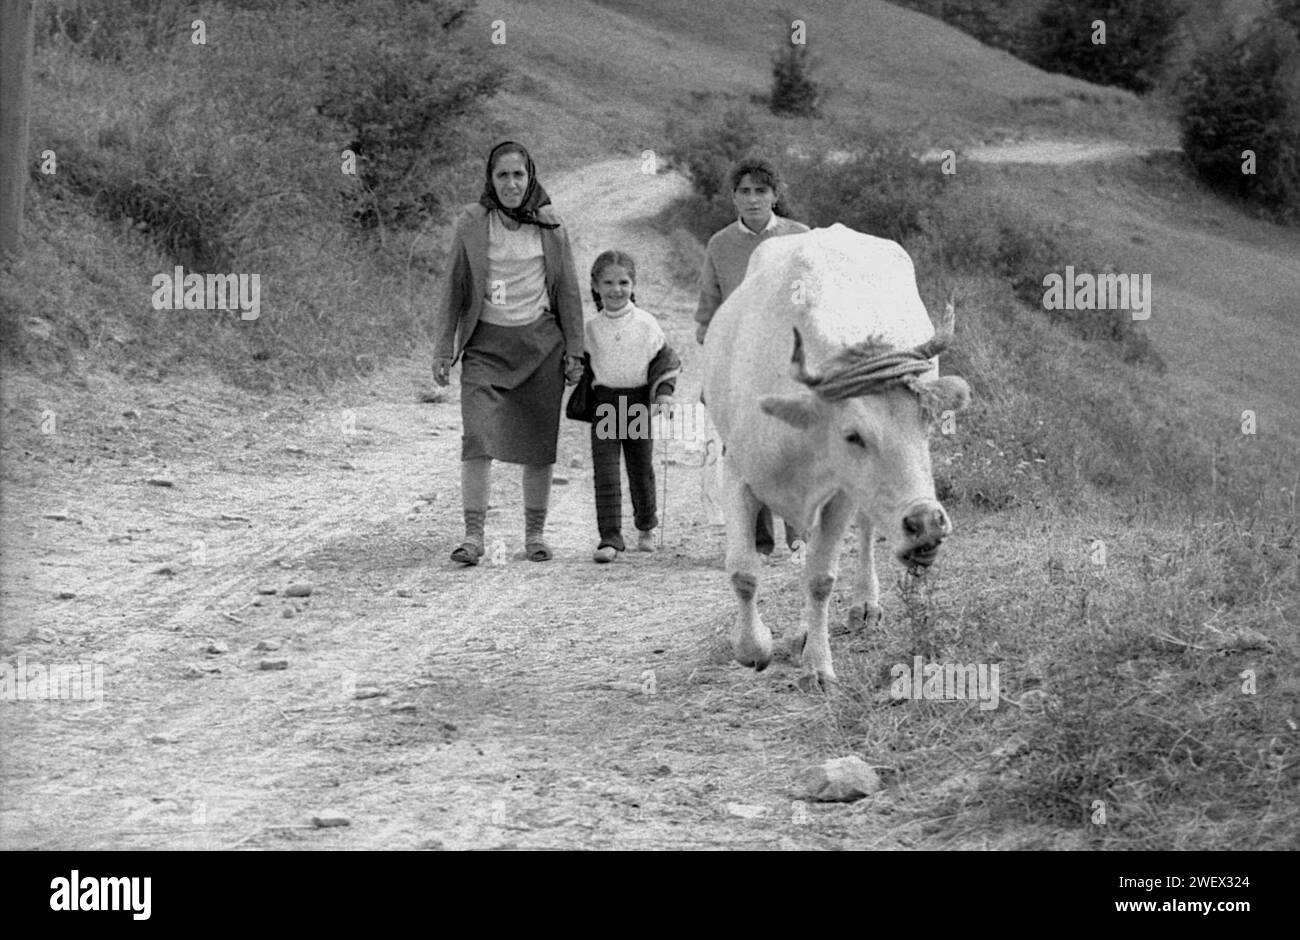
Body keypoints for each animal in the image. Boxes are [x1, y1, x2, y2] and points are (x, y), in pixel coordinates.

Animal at [707, 222, 972, 691]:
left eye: (925, 420)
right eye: (853, 435)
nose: (926, 524)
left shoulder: (841, 494)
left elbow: (820, 576)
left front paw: (817, 666)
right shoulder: (736, 472)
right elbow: (743, 571)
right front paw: (754, 647)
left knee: (864, 532)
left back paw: (864, 604)